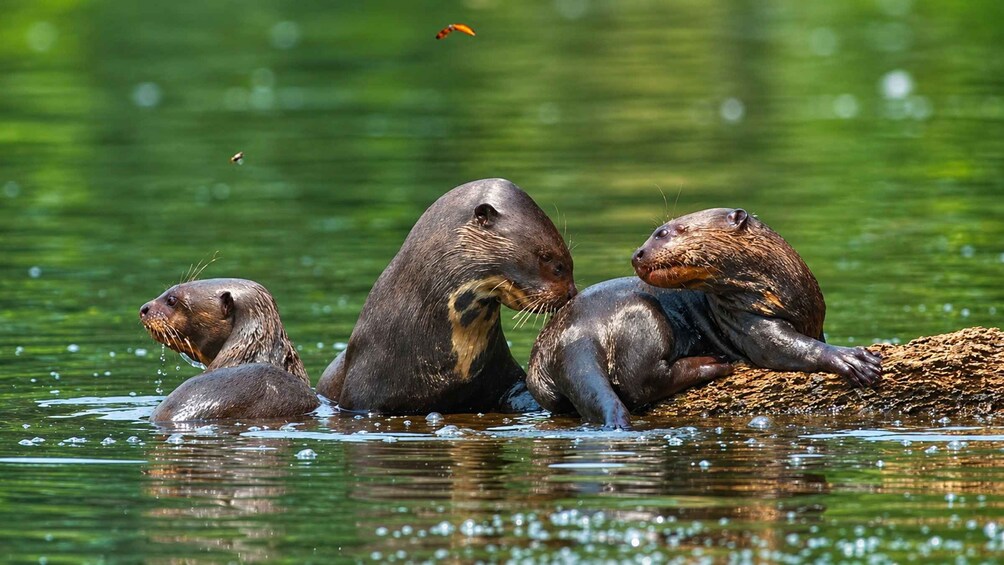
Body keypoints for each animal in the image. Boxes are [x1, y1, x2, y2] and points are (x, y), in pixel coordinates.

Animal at [527, 208, 881, 429]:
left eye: (666, 232)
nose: (637, 253)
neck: (778, 285)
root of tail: (573, 335)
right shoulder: (744, 320)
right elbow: (785, 348)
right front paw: (851, 358)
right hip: (642, 314)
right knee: (641, 382)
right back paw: (713, 364)